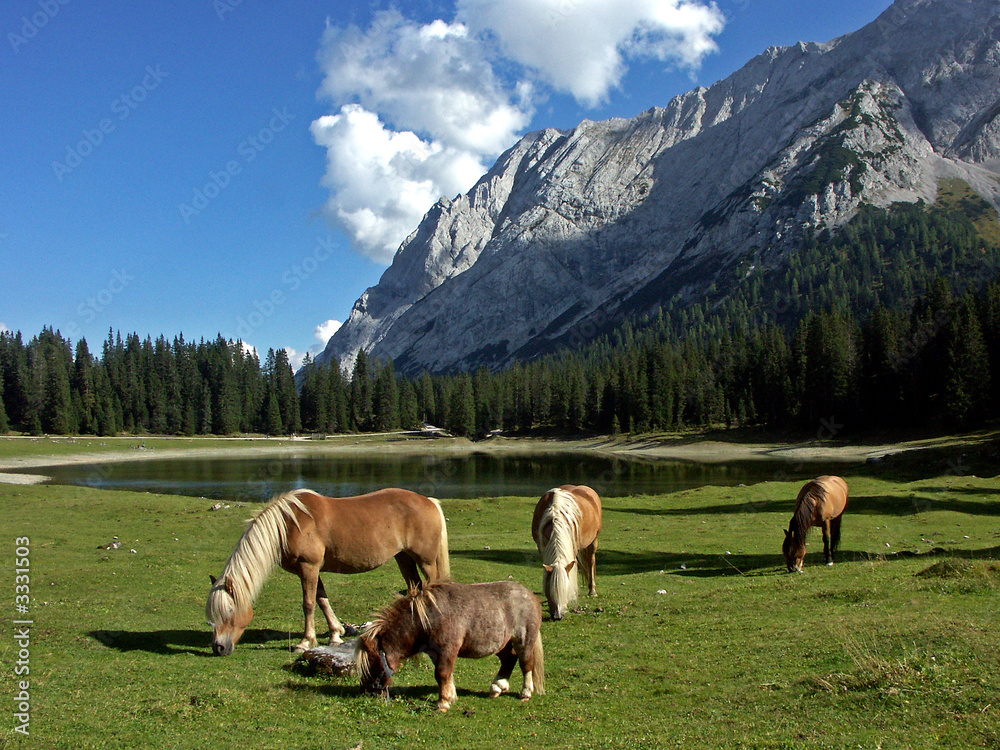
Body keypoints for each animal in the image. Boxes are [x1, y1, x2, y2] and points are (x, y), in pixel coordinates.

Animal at [206, 487, 450, 656]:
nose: (218, 647)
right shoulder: (309, 570)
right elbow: (322, 600)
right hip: (404, 558)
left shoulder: (308, 567)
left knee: (433, 586)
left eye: (228, 611)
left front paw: (305, 642)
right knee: (415, 588)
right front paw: (335, 635)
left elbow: (309, 604)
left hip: (425, 561)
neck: (289, 524)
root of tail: (428, 501)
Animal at [355, 580, 545, 712]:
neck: (429, 618)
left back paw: (525, 693)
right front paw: (451, 696)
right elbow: (445, 674)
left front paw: (443, 702)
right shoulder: (437, 652)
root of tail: (530, 595)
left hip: (524, 640)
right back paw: (497, 687)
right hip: (501, 643)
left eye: (373, 663)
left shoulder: (447, 649)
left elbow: (442, 673)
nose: (367, 691)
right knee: (509, 659)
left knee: (526, 663)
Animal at [531, 484, 602, 620]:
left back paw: (592, 590)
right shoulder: (541, 547)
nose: (558, 616)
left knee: (591, 562)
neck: (555, 514)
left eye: (565, 589)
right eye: (550, 591)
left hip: (593, 541)